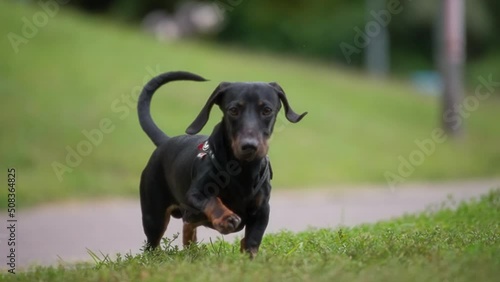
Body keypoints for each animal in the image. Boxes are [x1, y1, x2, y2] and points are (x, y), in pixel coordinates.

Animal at [139, 71, 306, 258]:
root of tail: (165, 142)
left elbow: (253, 240)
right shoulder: (195, 194)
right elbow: (212, 200)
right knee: (153, 243)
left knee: (188, 226)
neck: (242, 169)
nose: (249, 146)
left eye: (267, 110)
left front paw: (249, 256)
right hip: (154, 217)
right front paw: (226, 218)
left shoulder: (262, 210)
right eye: (233, 110)